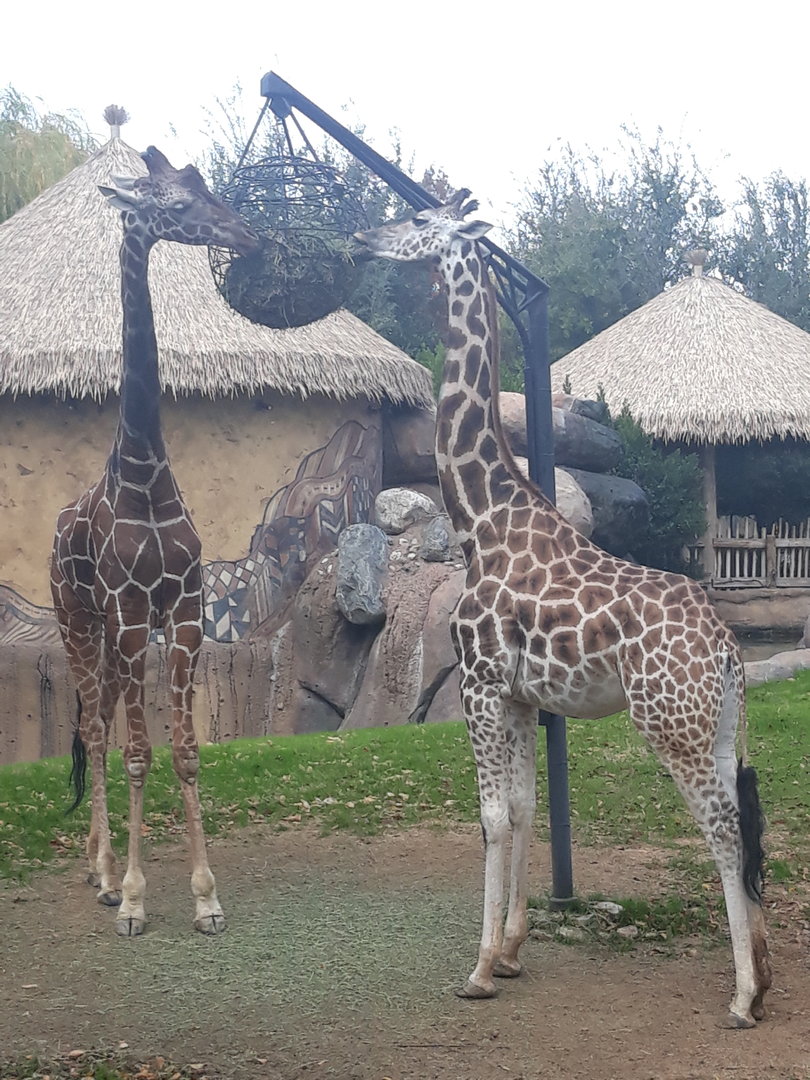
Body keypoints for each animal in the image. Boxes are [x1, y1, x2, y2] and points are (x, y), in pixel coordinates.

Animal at [50, 147, 258, 937]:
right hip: (80, 622)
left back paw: (95, 866)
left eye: (201, 186)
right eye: (172, 201)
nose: (245, 233)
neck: (143, 469)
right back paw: (108, 877)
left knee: (98, 721)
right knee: (96, 732)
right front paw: (138, 898)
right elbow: (141, 752)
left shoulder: (185, 613)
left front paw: (207, 898)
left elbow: (187, 752)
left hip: (109, 637)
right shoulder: (136, 616)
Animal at [353, 192, 771, 1028]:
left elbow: (492, 817)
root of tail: (726, 648)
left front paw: (480, 967)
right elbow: (521, 807)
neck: (480, 520)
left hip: (670, 726)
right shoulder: (517, 696)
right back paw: (764, 969)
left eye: (419, 220)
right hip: (715, 727)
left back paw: (743, 995)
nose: (363, 237)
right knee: (741, 817)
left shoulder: (481, 685)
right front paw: (513, 952)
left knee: (722, 827)